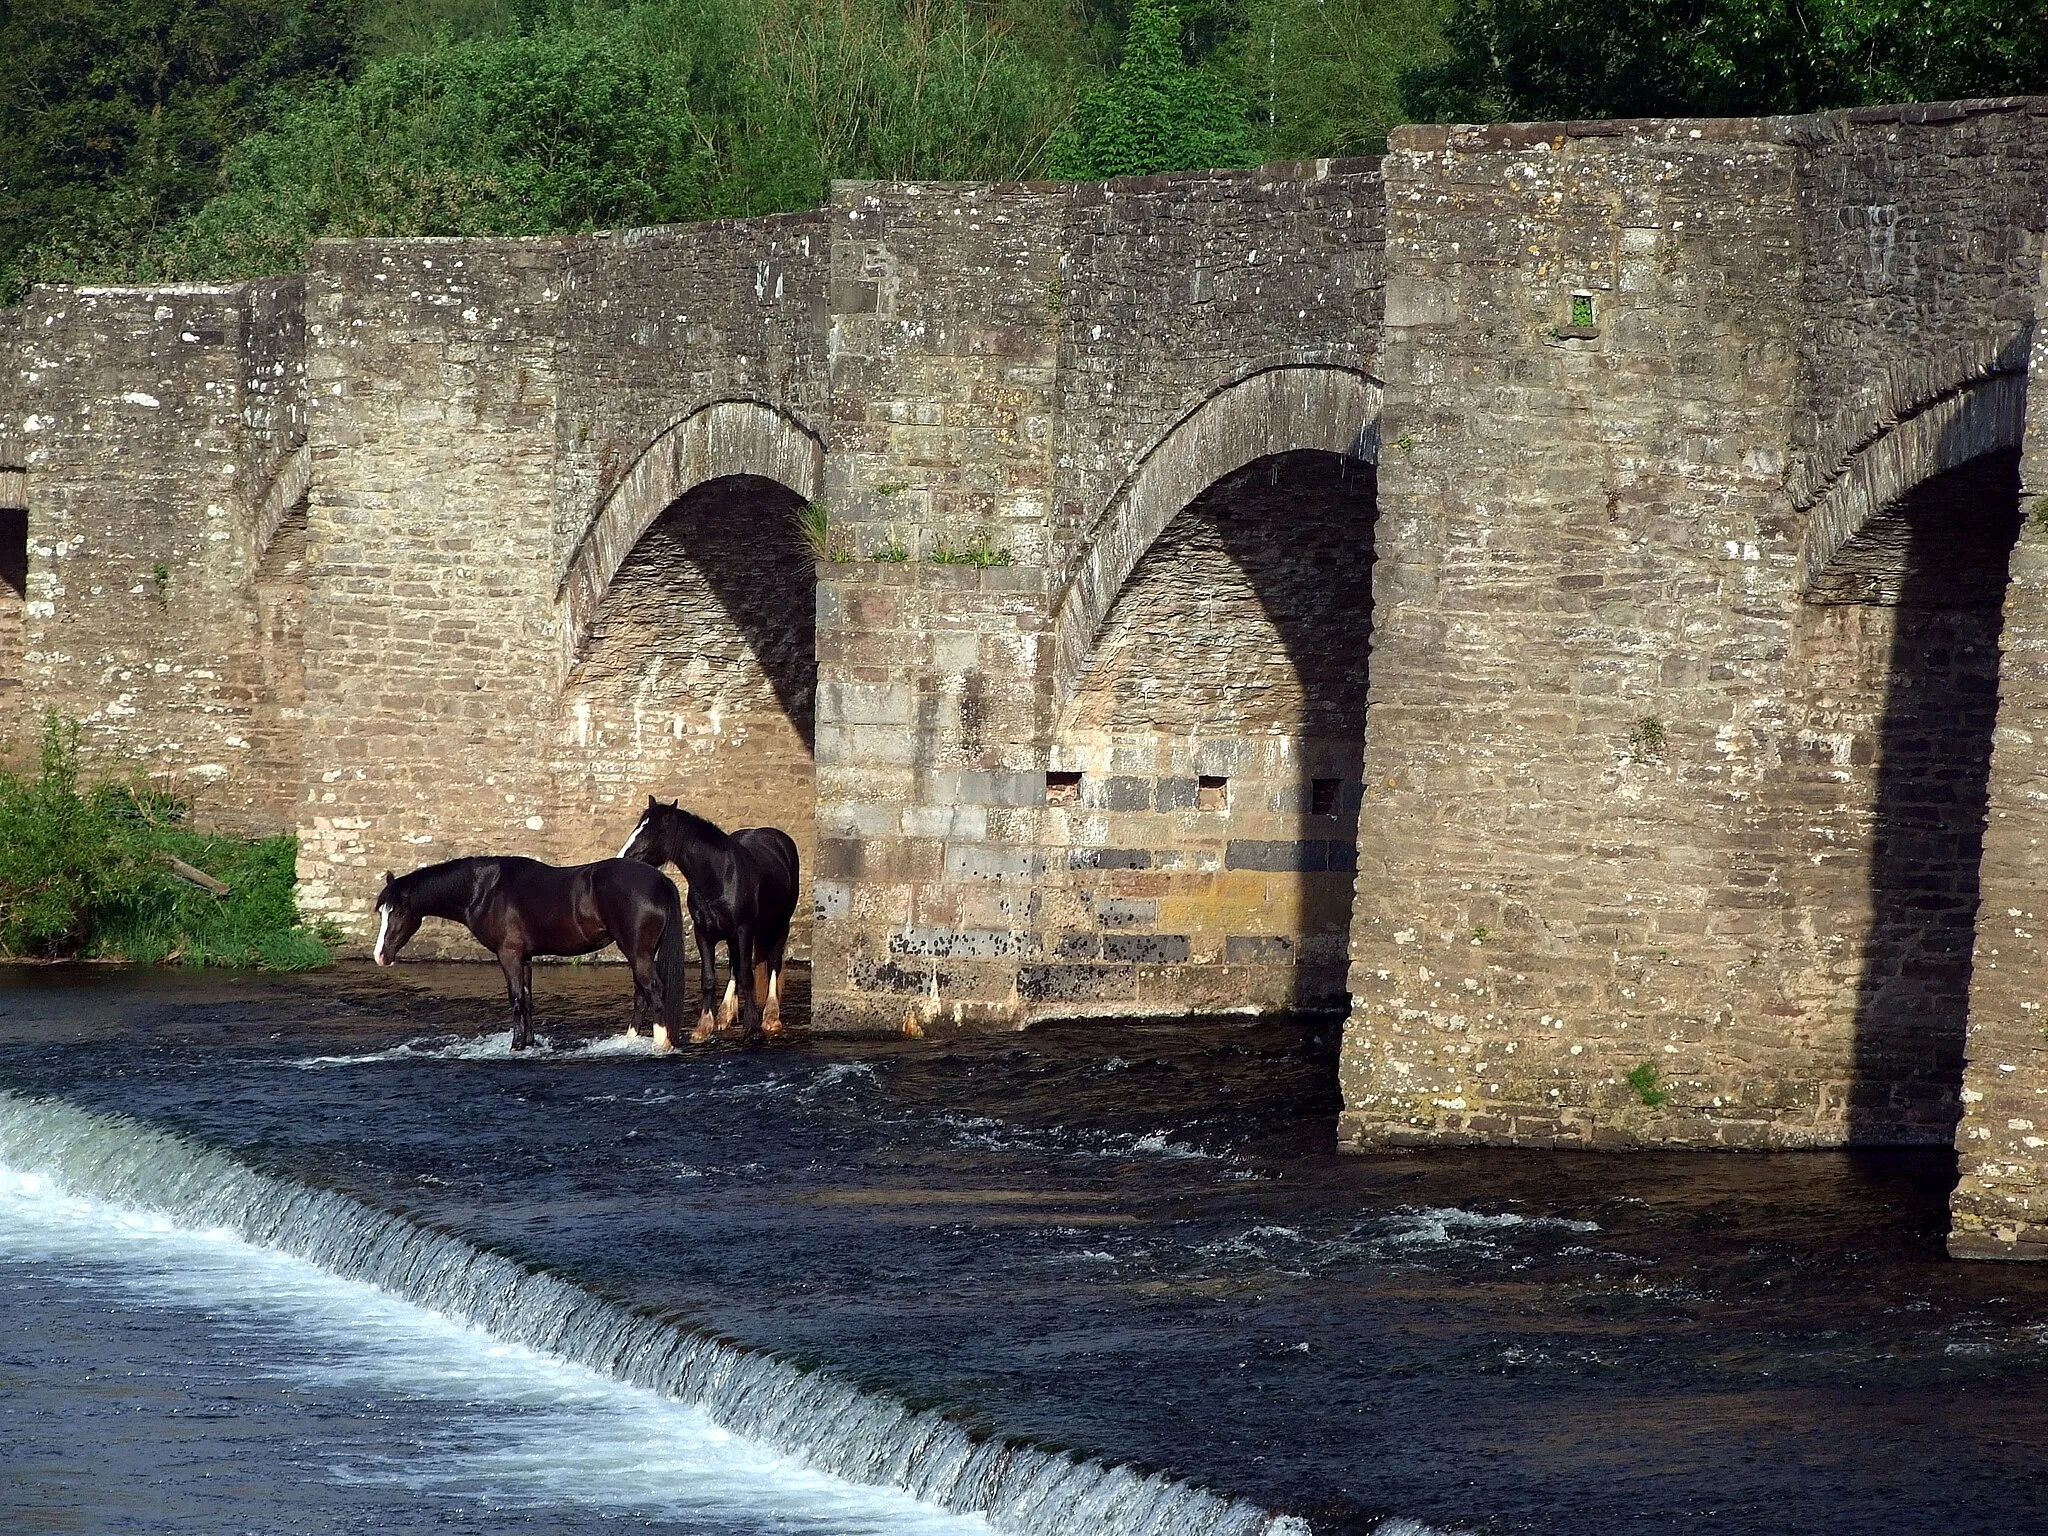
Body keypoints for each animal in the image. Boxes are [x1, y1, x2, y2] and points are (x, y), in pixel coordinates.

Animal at [370, 856, 688, 1056]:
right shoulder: (525, 958)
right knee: (641, 994)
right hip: (641, 953)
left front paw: (515, 1046)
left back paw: (662, 1044)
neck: (484, 890)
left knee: (653, 990)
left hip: (637, 952)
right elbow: (528, 1000)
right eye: (381, 911)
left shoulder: (509, 955)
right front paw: (529, 1044)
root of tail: (661, 880)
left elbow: (516, 1000)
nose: (380, 955)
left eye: (398, 911)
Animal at [614, 806, 798, 1048]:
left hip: (778, 926)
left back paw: (770, 1017)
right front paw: (703, 1027)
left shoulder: (744, 929)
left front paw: (752, 1029)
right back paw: (724, 1015)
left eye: (659, 830)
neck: (719, 877)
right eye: (639, 825)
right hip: (733, 936)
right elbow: (709, 978)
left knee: (773, 963)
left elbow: (747, 976)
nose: (623, 859)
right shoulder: (703, 932)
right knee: (735, 966)